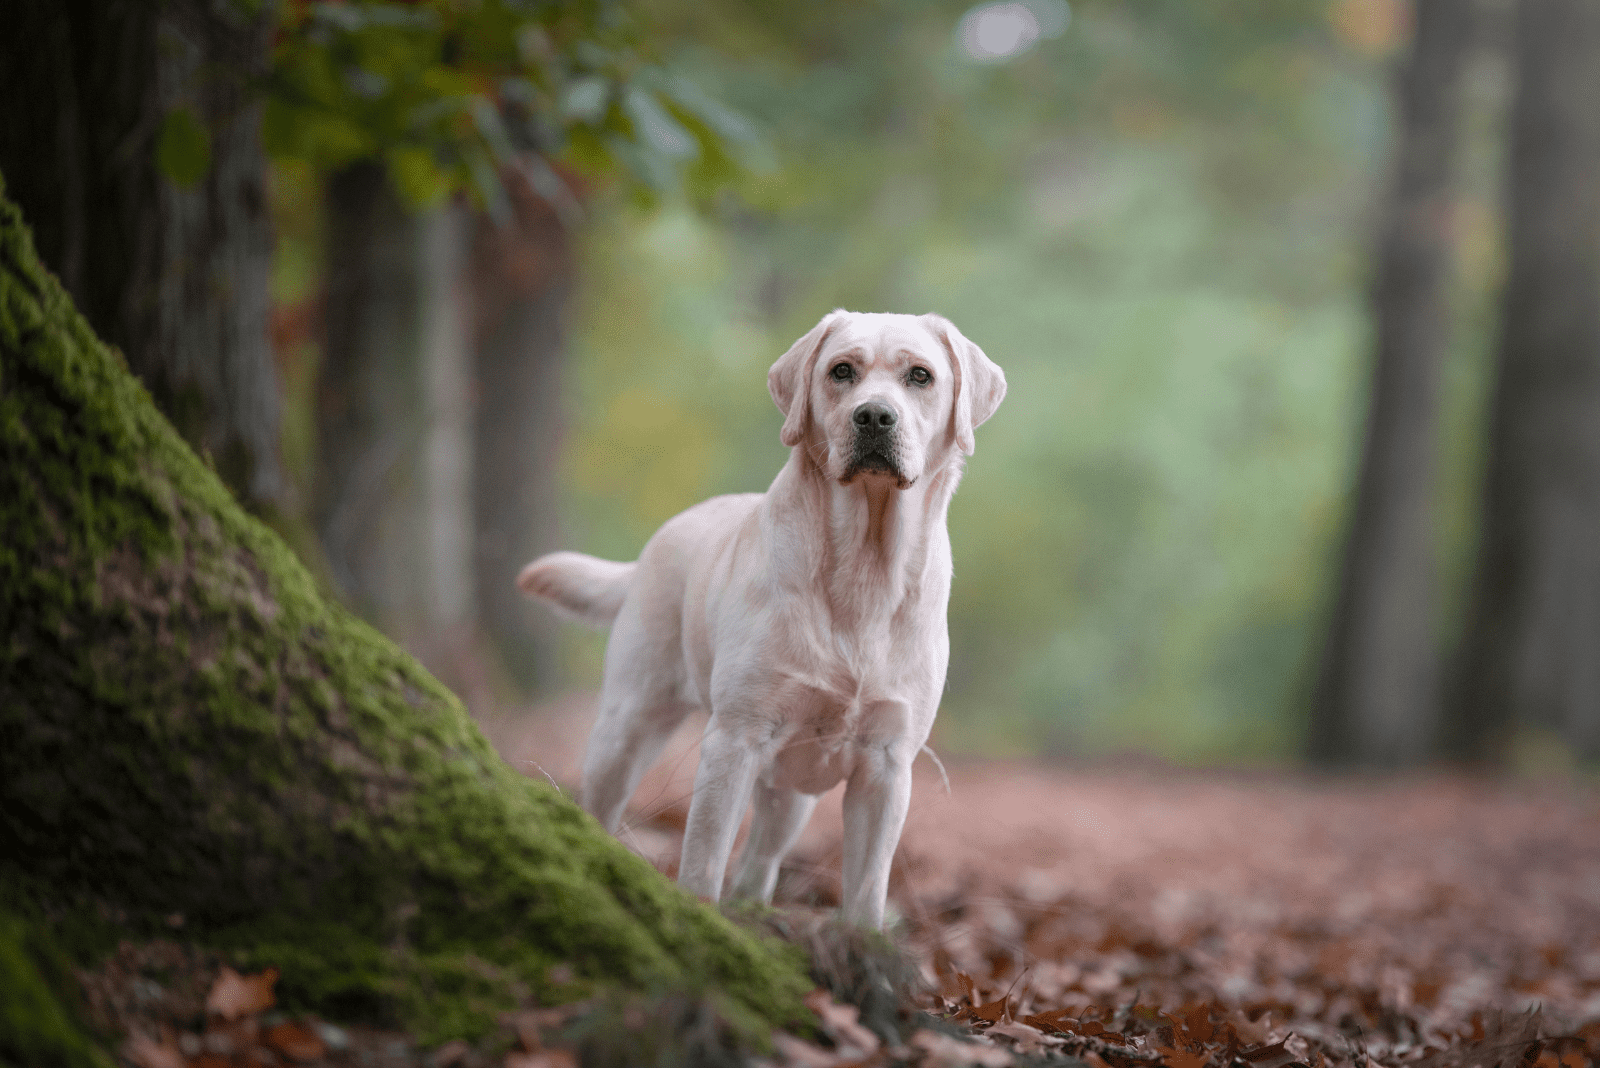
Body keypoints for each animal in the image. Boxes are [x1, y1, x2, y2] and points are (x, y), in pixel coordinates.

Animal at [521, 308, 998, 927]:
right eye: (841, 371)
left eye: (921, 376)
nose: (873, 416)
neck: (864, 570)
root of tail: (654, 544)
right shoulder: (735, 738)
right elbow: (703, 861)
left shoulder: (887, 765)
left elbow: (867, 889)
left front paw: (862, 947)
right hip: (626, 726)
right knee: (602, 804)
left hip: (792, 790)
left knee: (760, 863)